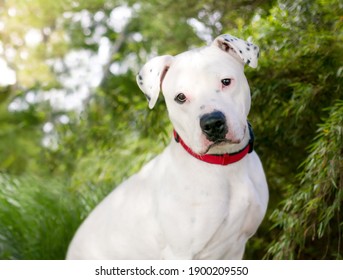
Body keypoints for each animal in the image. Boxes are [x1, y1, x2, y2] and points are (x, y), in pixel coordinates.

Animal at [67, 34, 270, 260]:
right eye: (180, 97)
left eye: (226, 81)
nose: (212, 124)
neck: (224, 166)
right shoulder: (180, 254)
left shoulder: (236, 247)